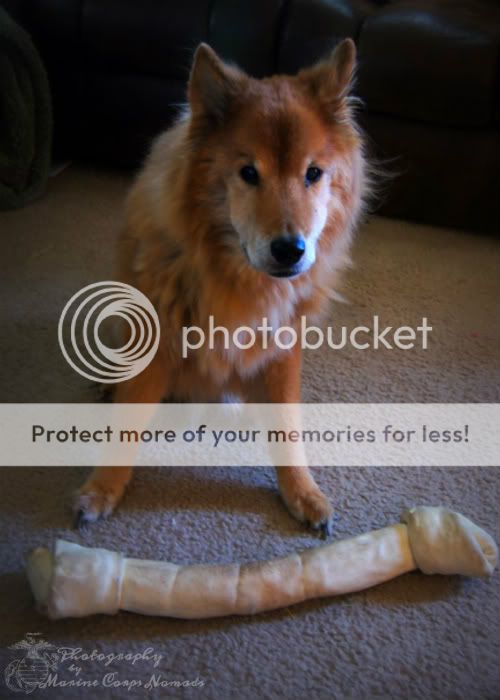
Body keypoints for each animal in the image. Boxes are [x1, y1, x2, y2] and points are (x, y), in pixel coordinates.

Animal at [74, 41, 368, 532]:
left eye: (313, 174)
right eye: (249, 173)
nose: (290, 249)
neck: (241, 282)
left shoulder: (281, 352)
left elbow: (287, 428)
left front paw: (302, 492)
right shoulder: (157, 342)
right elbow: (127, 424)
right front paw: (102, 489)